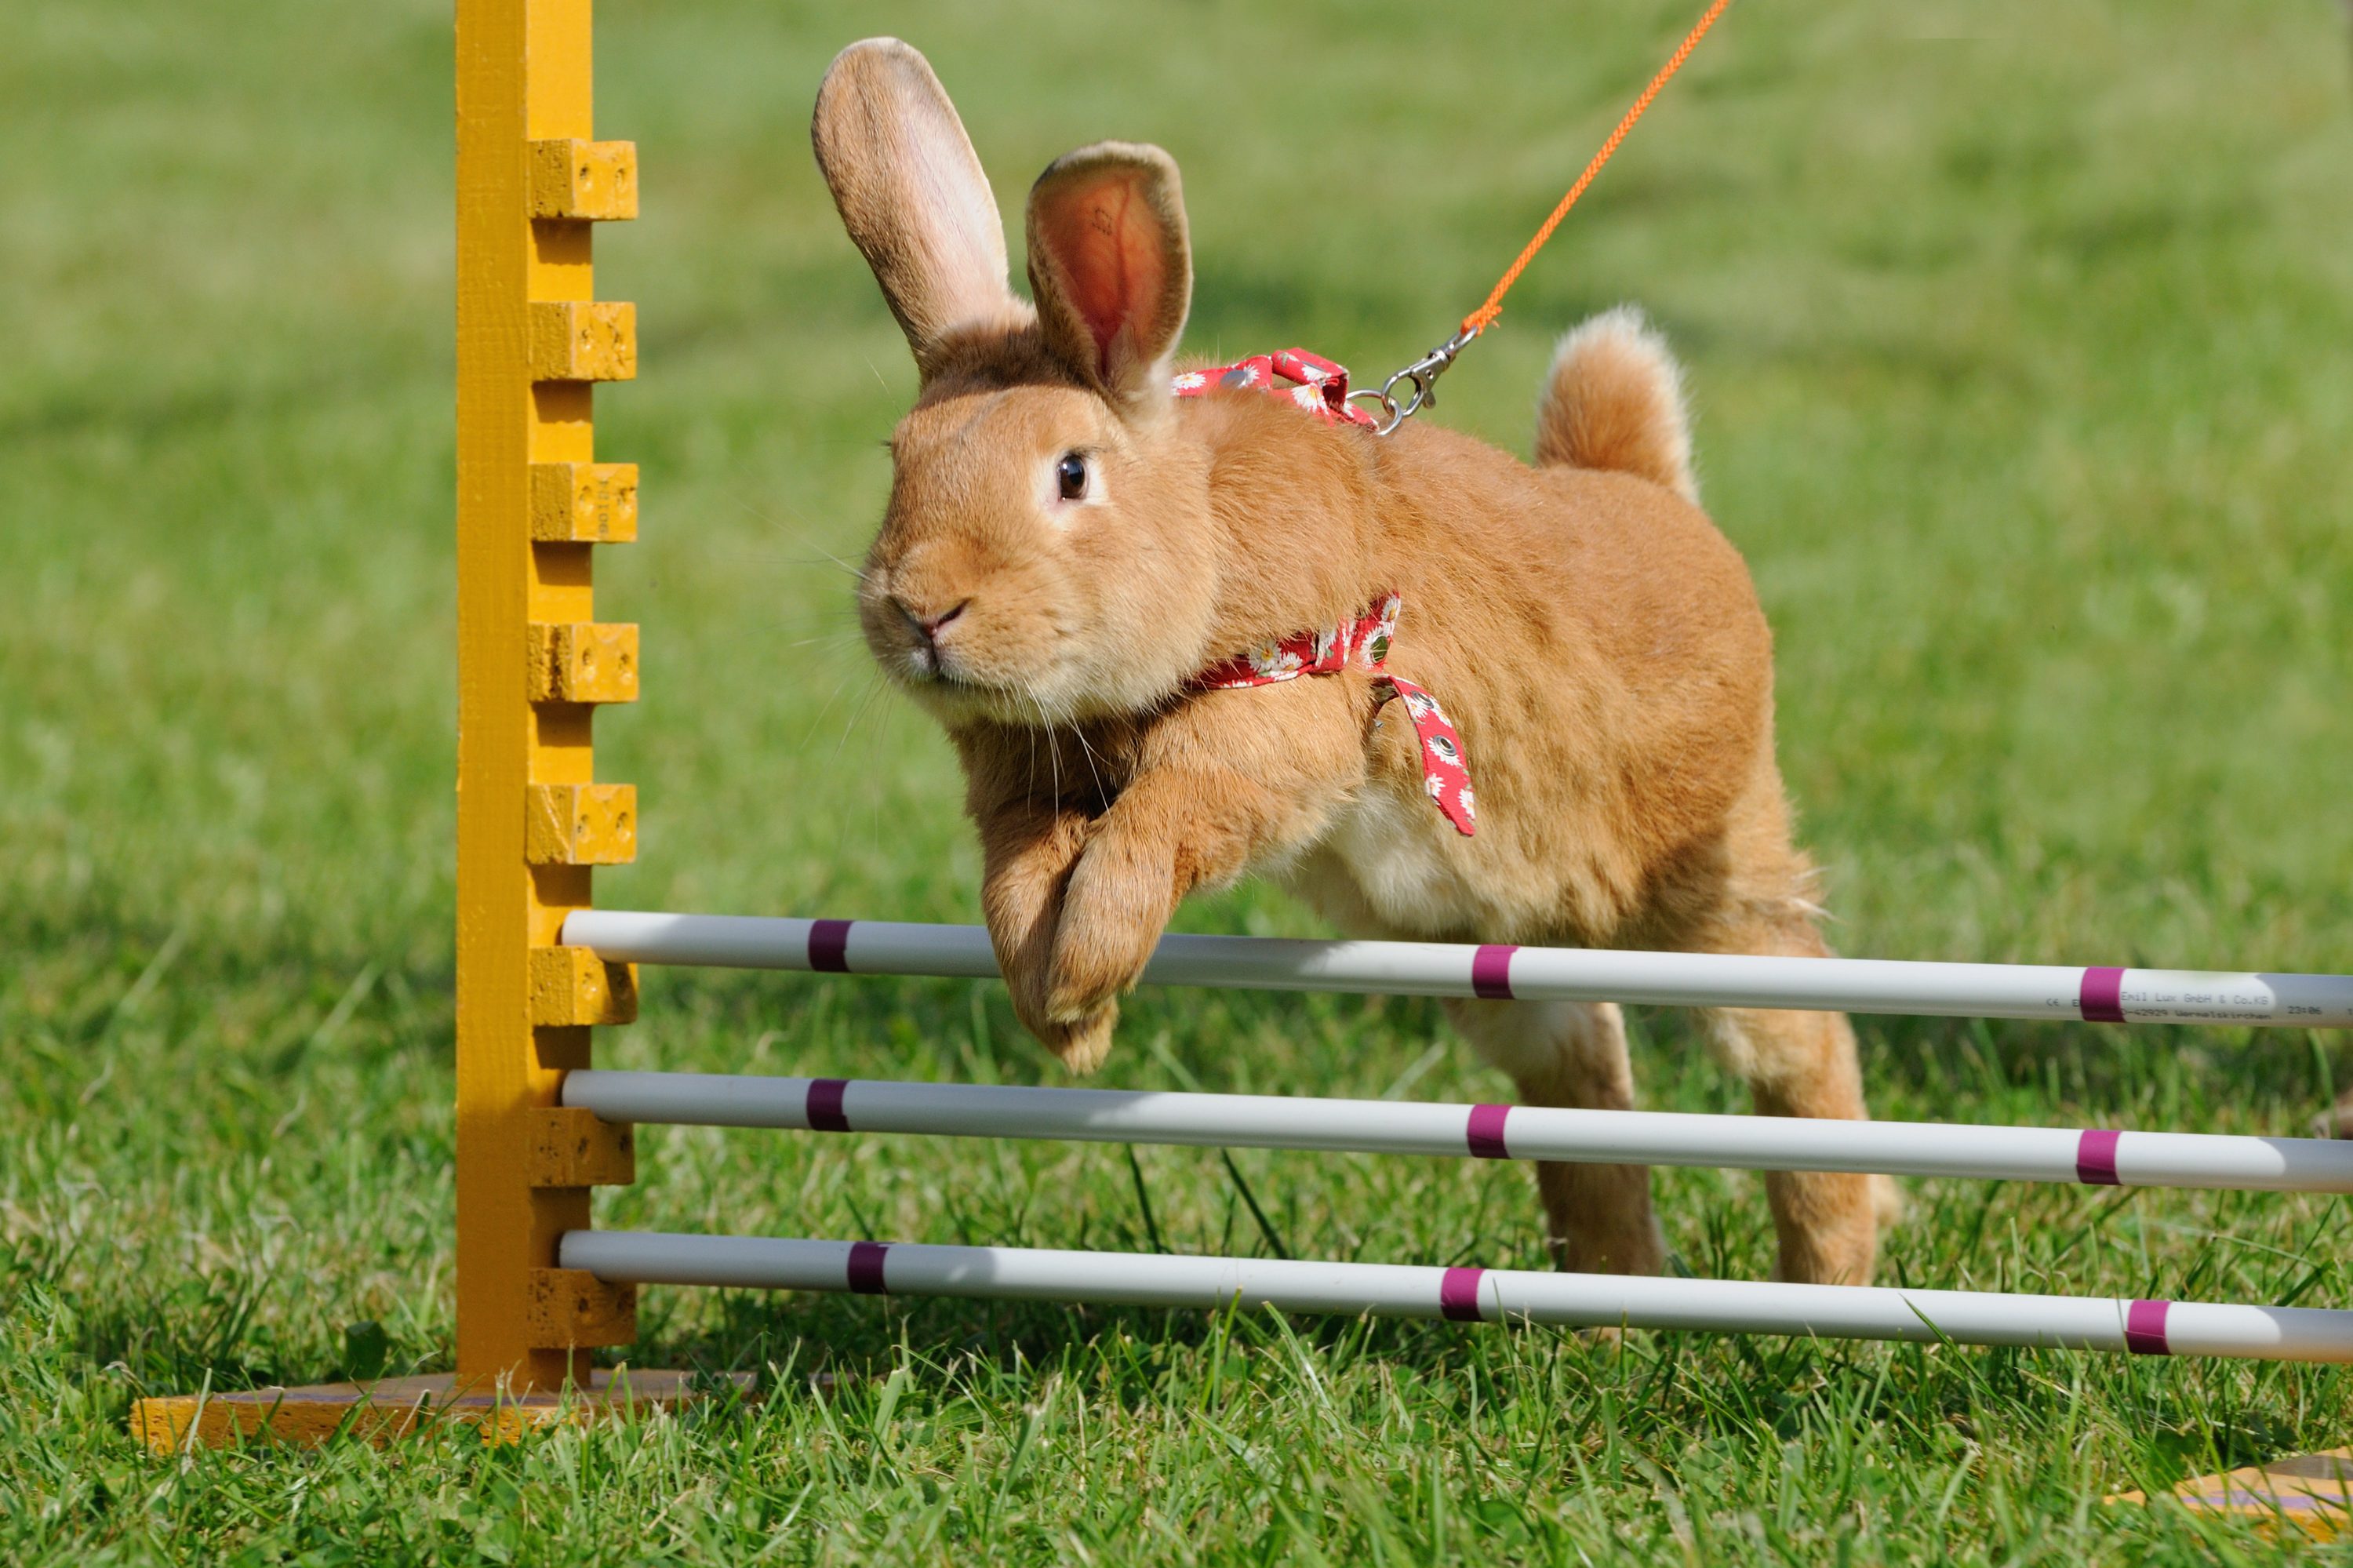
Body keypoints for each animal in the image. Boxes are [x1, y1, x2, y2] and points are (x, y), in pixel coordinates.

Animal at [811, 37, 1897, 1286]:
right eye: (900, 459)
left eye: (1072, 473)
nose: (920, 610)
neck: (1201, 534)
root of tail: (1661, 499)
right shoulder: (1026, 788)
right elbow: (1016, 880)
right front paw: (1065, 1020)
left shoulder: (1281, 723)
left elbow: (1153, 831)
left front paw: (1084, 967)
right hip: (1503, 973)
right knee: (1585, 1094)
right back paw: (1614, 1299)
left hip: (1714, 907)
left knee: (1805, 1052)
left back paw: (1834, 1267)